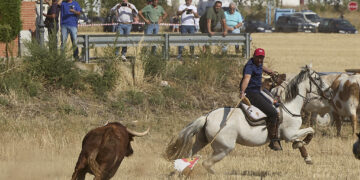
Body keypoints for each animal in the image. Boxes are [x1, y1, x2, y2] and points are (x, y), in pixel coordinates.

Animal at [165, 64, 330, 173]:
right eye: (317, 78)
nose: (329, 91)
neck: (289, 106)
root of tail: (207, 117)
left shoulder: (290, 135)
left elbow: (302, 141)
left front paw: (306, 156)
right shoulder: (290, 134)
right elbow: (310, 130)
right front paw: (305, 142)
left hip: (201, 141)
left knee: (189, 157)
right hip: (224, 148)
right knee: (206, 163)